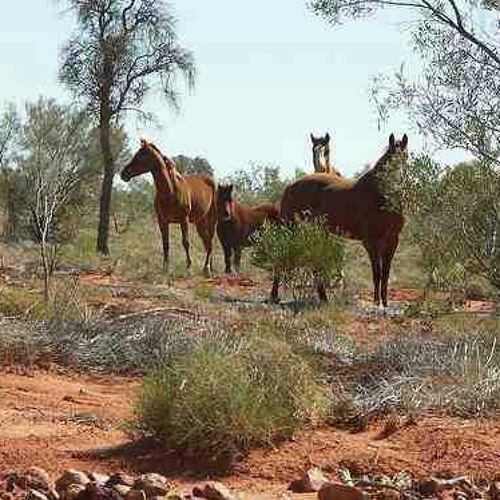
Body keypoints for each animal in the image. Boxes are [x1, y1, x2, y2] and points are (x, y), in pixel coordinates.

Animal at [121, 139, 217, 276]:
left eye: (140, 156)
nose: (123, 174)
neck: (169, 191)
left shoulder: (183, 220)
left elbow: (185, 242)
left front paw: (188, 266)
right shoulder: (163, 221)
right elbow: (165, 244)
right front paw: (165, 267)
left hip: (211, 220)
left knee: (211, 243)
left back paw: (207, 268)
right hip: (200, 222)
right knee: (207, 243)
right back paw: (209, 268)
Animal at [272, 131, 408, 306]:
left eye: (405, 157)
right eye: (390, 159)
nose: (397, 184)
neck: (380, 197)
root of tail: (290, 186)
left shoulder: (392, 241)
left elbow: (385, 274)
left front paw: (384, 302)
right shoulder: (371, 242)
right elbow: (377, 273)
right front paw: (376, 302)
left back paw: (323, 297)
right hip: (290, 228)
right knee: (281, 258)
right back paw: (274, 295)